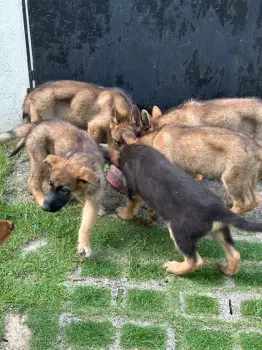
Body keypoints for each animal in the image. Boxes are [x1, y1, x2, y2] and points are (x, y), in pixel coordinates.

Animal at [103, 131, 262, 276]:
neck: (135, 148)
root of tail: (220, 211)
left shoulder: (133, 191)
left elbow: (131, 207)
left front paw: (123, 214)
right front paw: (151, 218)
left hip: (180, 231)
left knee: (195, 260)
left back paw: (175, 268)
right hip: (219, 230)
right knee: (235, 254)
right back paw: (228, 270)